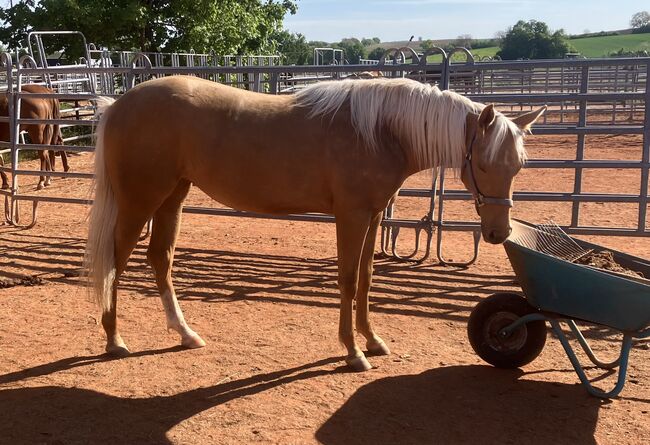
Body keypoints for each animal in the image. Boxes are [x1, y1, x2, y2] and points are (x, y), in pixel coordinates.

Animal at [84, 75, 545, 371]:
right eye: (483, 164)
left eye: (519, 166)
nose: (498, 233)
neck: (382, 130)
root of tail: (118, 104)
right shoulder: (351, 215)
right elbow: (346, 279)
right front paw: (353, 352)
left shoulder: (373, 215)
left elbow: (366, 278)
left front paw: (373, 341)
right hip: (141, 199)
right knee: (115, 261)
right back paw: (114, 340)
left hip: (172, 197)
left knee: (160, 259)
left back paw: (185, 333)